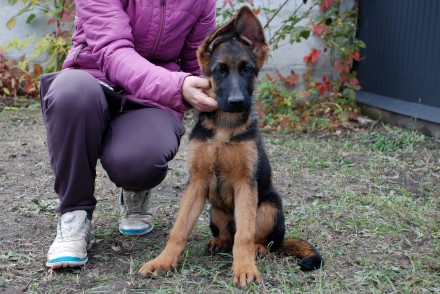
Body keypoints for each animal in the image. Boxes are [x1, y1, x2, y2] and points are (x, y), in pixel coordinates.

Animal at [139, 6, 322, 288]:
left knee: (265, 240)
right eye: (220, 70)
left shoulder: (245, 183)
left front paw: (244, 268)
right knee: (228, 234)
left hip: (268, 207)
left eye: (248, 69)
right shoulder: (197, 182)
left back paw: (258, 249)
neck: (224, 127)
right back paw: (219, 242)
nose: (236, 102)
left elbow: (244, 235)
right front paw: (163, 261)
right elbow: (179, 230)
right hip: (216, 211)